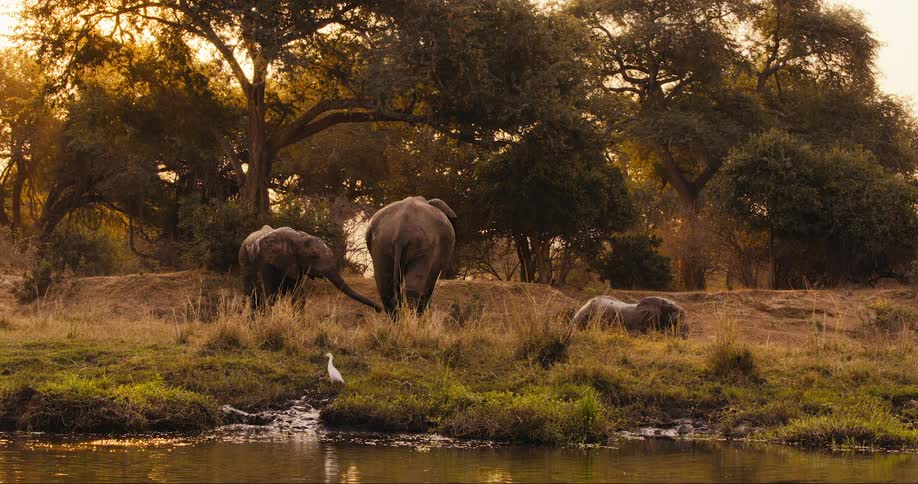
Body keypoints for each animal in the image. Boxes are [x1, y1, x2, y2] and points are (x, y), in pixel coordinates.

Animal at [239, 225, 381, 312]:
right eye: (314, 256)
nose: (379, 309)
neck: (296, 238)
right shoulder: (266, 263)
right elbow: (268, 296)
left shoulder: (296, 266)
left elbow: (298, 297)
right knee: (253, 297)